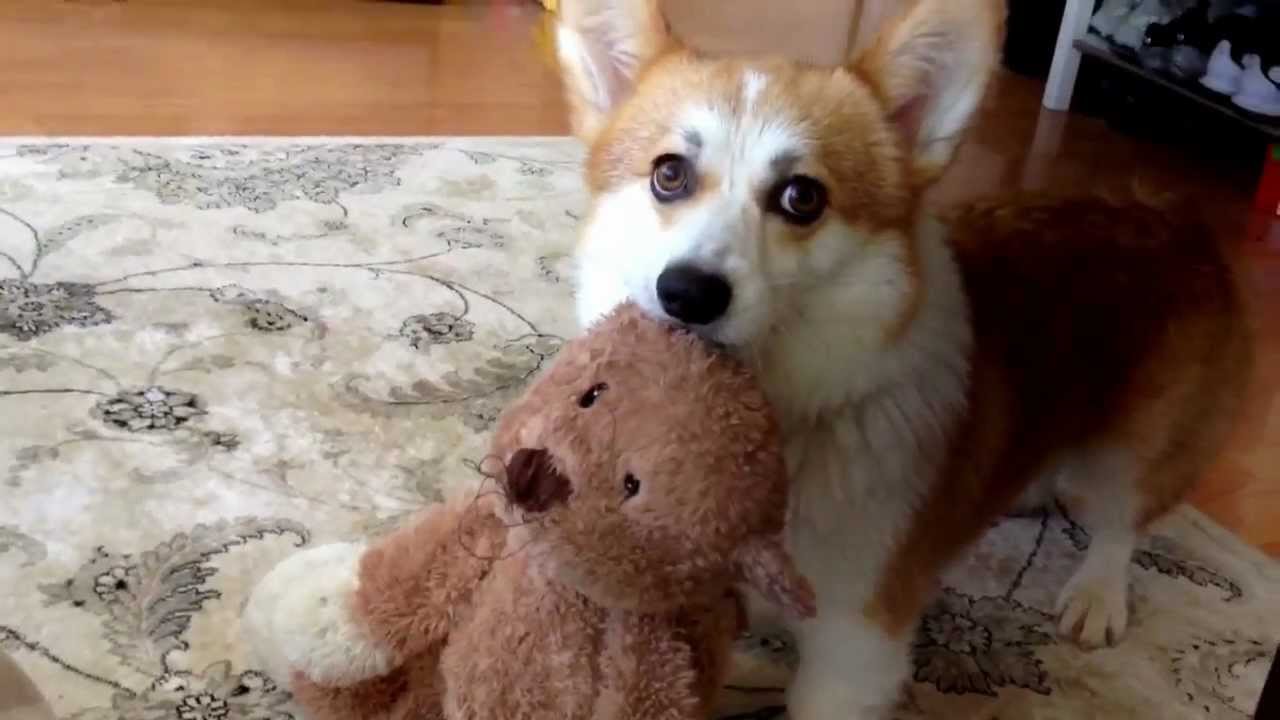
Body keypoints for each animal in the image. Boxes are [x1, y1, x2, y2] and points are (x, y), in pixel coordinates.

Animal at [552, 0, 1249, 712]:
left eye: (801, 197)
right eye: (669, 174)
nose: (688, 293)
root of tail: (1172, 215)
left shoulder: (854, 649)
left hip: (1129, 451)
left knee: (1121, 519)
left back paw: (1098, 595)